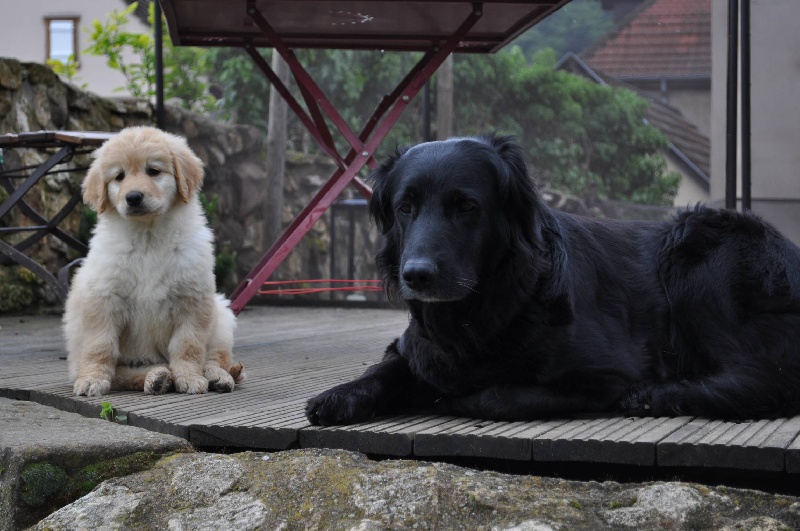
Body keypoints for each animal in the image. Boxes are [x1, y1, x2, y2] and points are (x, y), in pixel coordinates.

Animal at [64, 126, 245, 397]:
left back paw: (218, 376)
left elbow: (188, 345)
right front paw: (91, 379)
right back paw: (156, 377)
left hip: (221, 316)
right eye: (119, 176)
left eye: (153, 171)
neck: (148, 237)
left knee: (216, 357)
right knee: (123, 373)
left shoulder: (192, 299)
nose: (133, 197)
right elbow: (100, 346)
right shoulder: (104, 298)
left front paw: (189, 377)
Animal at [306, 134, 800, 425]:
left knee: (763, 380)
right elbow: (388, 365)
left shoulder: (603, 375)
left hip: (699, 259)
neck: (483, 310)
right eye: (405, 207)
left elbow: (497, 397)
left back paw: (655, 395)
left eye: (466, 206)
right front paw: (339, 395)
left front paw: (457, 398)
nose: (417, 276)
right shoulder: (417, 346)